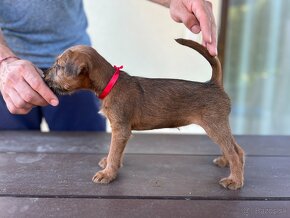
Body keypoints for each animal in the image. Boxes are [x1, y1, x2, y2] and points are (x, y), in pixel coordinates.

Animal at [44, 39, 245, 191]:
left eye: (58, 66)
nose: (44, 72)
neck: (110, 82)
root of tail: (213, 84)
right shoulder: (122, 131)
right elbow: (116, 152)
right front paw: (110, 165)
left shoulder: (120, 129)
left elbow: (114, 151)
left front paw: (108, 174)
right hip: (219, 126)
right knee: (237, 148)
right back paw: (227, 164)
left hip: (214, 126)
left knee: (234, 151)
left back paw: (235, 180)